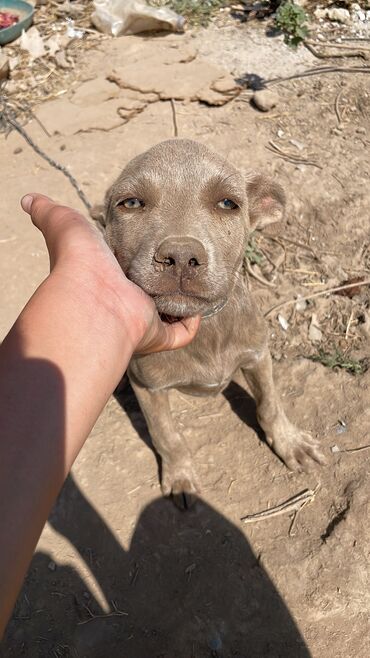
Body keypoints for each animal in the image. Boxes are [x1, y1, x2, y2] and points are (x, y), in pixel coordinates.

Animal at [93, 137, 324, 498]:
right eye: (131, 202)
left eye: (228, 203)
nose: (180, 256)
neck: (207, 327)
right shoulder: (148, 387)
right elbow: (166, 435)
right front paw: (180, 476)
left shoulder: (258, 355)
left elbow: (270, 404)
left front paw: (289, 442)